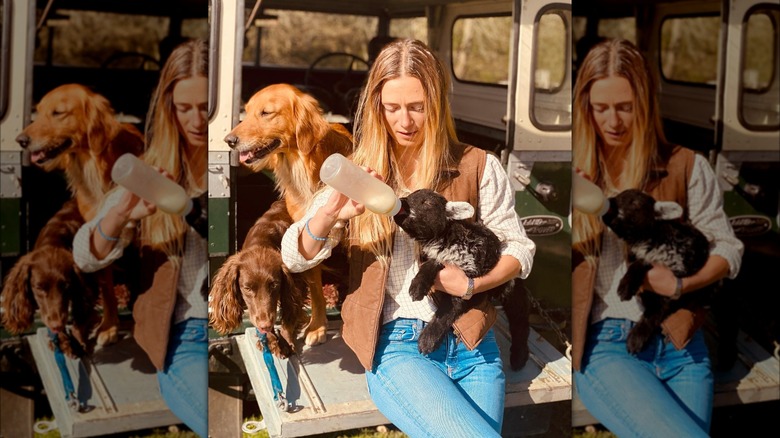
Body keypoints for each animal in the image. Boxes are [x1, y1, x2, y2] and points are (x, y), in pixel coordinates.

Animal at [394, 188, 528, 370]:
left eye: (427, 202)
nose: (401, 201)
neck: (447, 238)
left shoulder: (467, 279)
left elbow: (449, 310)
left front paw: (428, 339)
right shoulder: (440, 260)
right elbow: (431, 264)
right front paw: (418, 285)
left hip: (510, 286)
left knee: (520, 313)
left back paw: (519, 356)